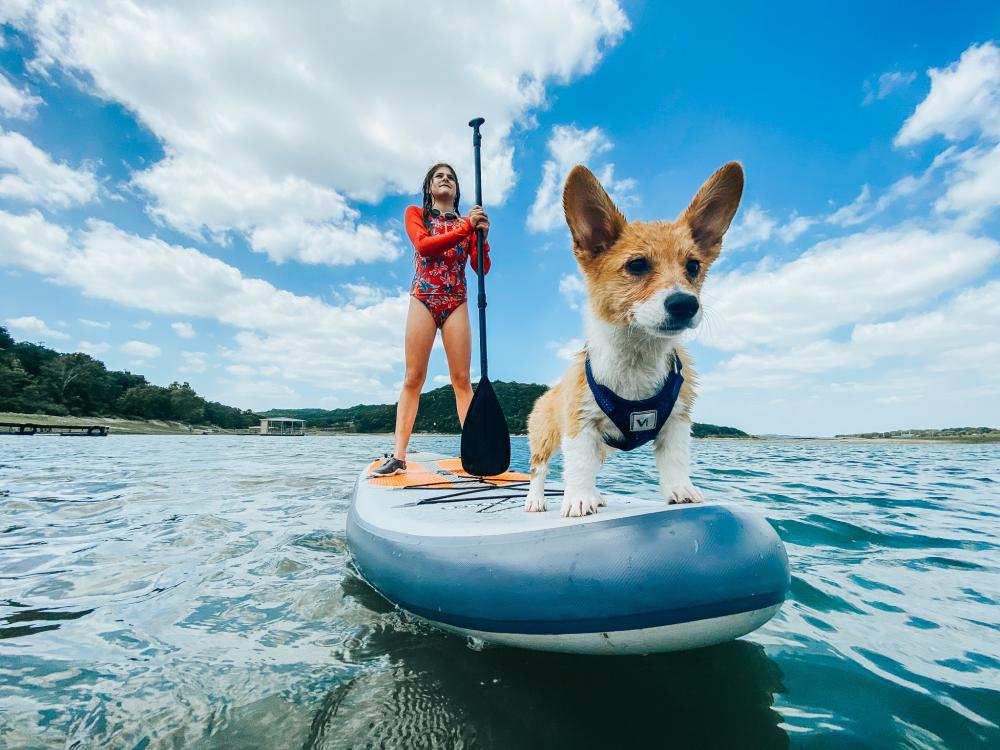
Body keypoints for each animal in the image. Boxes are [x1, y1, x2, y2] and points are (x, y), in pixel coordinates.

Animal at [524, 162, 744, 520]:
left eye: (693, 266)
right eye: (637, 265)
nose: (685, 304)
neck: (637, 355)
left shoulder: (677, 422)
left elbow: (675, 460)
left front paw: (680, 490)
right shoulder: (580, 424)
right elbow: (578, 466)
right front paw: (578, 500)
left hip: (603, 447)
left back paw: (597, 495)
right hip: (545, 436)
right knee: (539, 469)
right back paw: (536, 499)